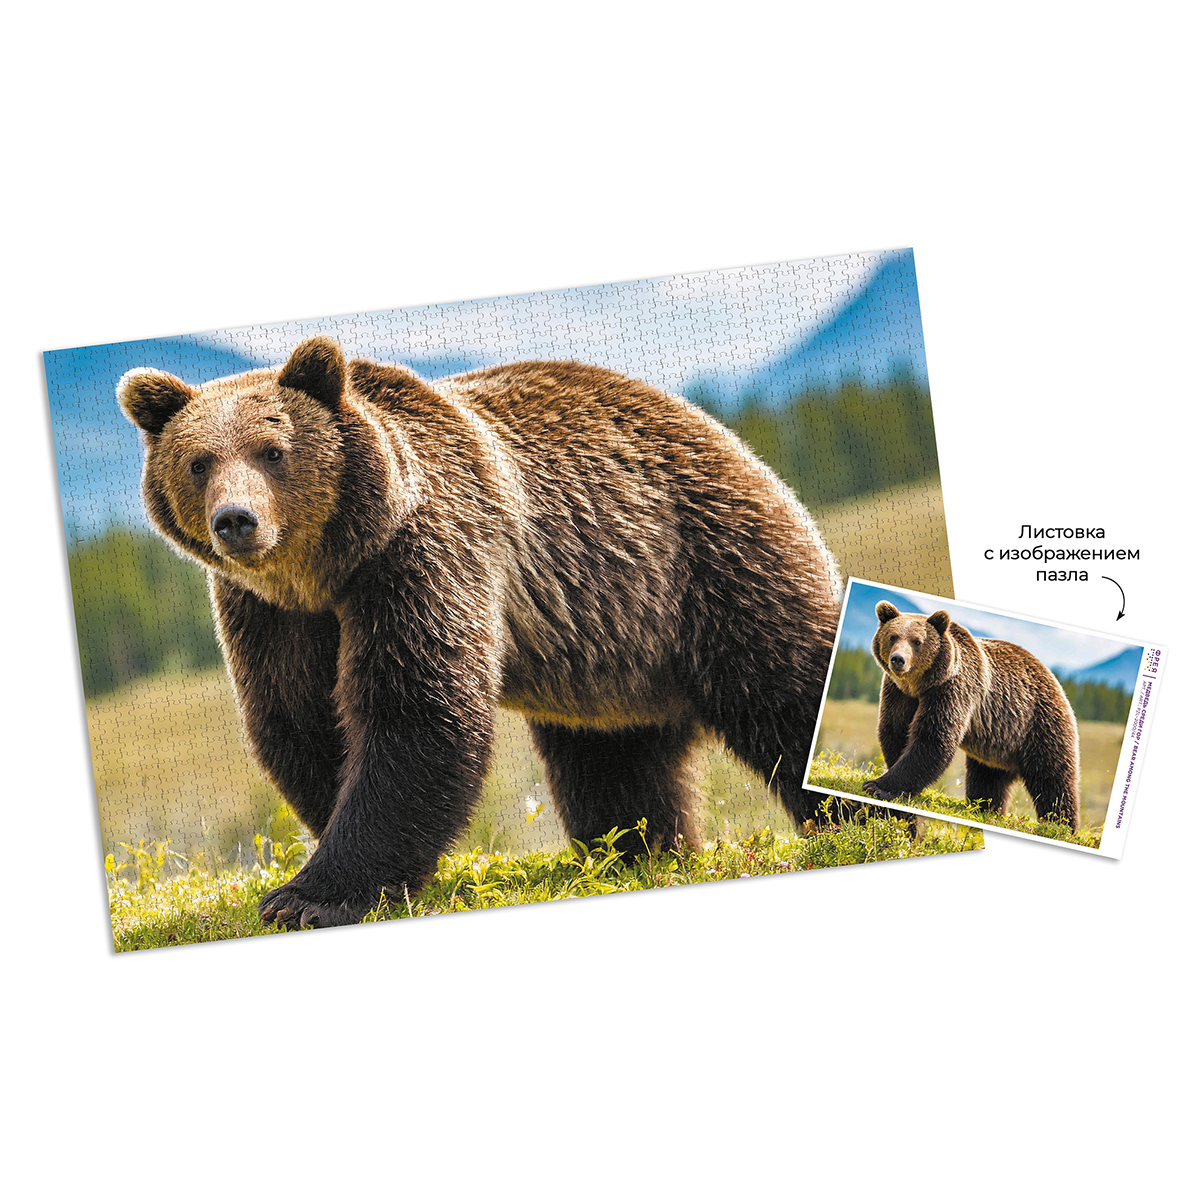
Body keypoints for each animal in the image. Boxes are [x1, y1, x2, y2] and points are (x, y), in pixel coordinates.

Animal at [118, 335, 850, 929]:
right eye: (198, 462)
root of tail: (715, 428)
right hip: (609, 646)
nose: (236, 521)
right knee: (614, 761)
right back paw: (637, 852)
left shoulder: (423, 554)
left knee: (785, 685)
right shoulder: (271, 613)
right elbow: (298, 719)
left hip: (703, 560)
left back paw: (852, 810)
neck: (328, 567)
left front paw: (310, 896)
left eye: (273, 451)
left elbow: (415, 710)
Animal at [861, 601, 1080, 829]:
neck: (920, 685)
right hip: (998, 742)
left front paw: (878, 786)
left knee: (1052, 778)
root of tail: (1055, 681)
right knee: (988, 777)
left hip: (1038, 723)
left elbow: (933, 739)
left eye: (917, 641)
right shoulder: (899, 692)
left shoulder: (953, 689)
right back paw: (986, 807)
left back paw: (1061, 823)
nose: (898, 659)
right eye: (892, 636)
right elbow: (895, 729)